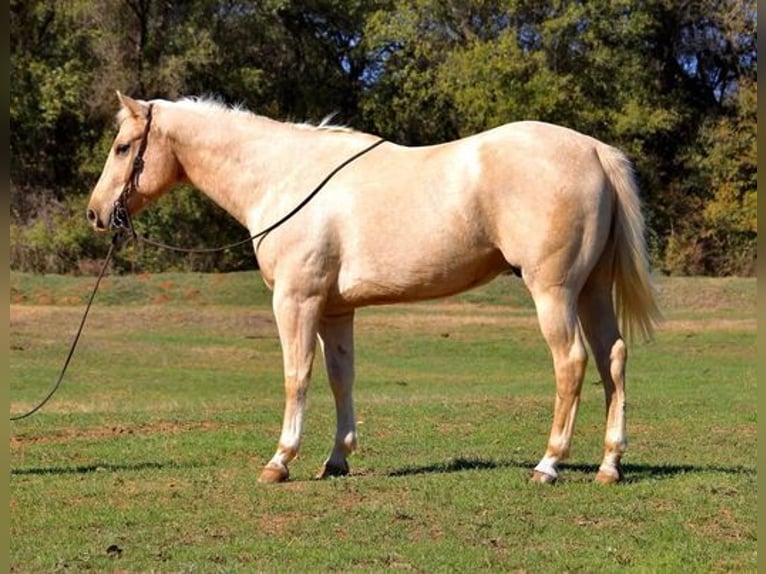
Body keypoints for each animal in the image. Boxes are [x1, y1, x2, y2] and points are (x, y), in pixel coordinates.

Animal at [87, 93, 664, 486]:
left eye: (122, 147)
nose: (96, 213)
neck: (284, 176)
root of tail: (593, 150)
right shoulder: (335, 311)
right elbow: (341, 379)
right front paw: (336, 458)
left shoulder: (295, 301)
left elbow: (297, 377)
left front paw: (280, 460)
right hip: (591, 290)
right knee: (613, 358)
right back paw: (610, 465)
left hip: (554, 292)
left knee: (572, 362)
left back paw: (548, 464)